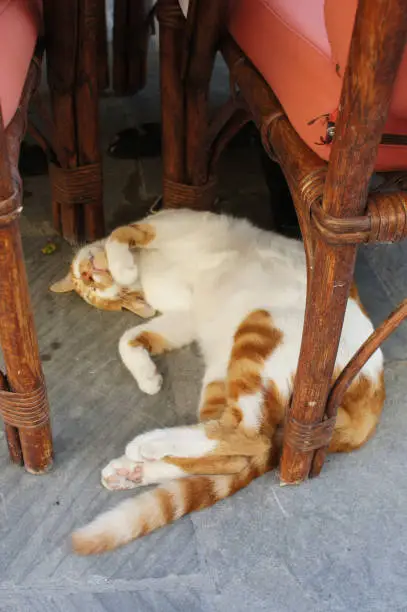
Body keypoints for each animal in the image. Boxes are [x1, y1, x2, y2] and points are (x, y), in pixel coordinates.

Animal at [51, 209, 386, 556]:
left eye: (89, 281)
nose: (92, 273)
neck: (146, 270)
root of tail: (372, 379)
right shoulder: (182, 318)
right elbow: (127, 339)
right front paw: (148, 377)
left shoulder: (159, 226)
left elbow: (118, 235)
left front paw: (122, 267)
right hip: (224, 375)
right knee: (233, 452)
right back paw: (133, 468)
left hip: (257, 330)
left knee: (250, 439)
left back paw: (145, 447)